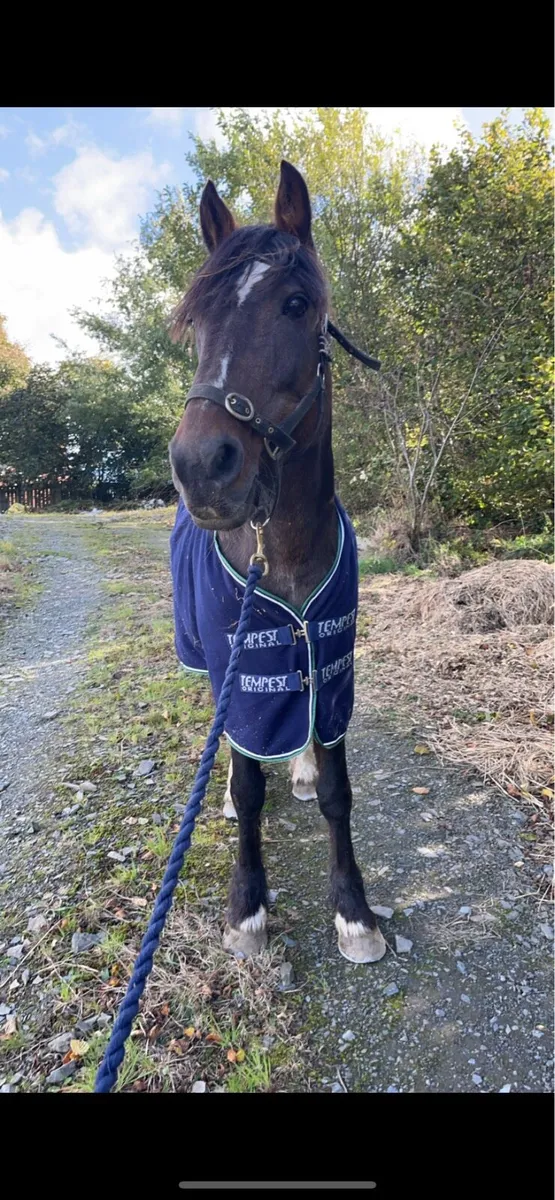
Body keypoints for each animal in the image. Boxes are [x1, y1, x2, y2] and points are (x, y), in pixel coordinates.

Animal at [168, 160, 386, 966]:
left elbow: (337, 790)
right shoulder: (240, 664)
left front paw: (354, 912)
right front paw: (247, 908)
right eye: (195, 324)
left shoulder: (331, 660)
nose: (201, 467)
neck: (280, 551)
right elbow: (245, 781)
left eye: (296, 305)